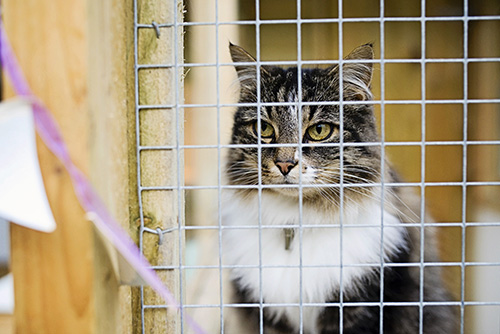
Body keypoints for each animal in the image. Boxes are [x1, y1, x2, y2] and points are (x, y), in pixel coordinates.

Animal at [222, 43, 458, 332]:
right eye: (263, 128)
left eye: (319, 130)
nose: (285, 164)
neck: (297, 222)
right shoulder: (268, 316)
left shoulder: (362, 305)